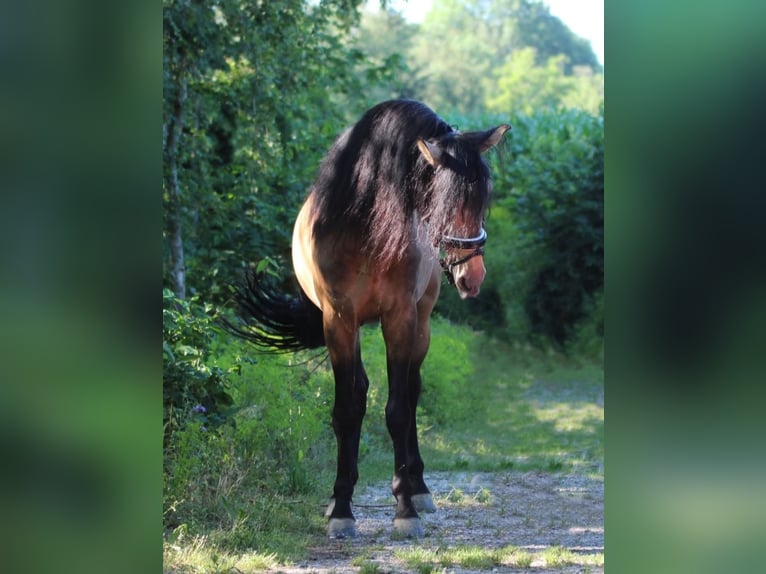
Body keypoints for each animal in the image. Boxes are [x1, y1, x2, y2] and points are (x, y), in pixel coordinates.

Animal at [231, 100, 512, 540]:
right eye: (445, 202)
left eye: (483, 199)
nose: (472, 277)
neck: (366, 226)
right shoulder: (338, 320)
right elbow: (347, 410)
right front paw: (341, 508)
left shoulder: (399, 318)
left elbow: (397, 409)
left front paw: (405, 509)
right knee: (362, 390)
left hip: (421, 323)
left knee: (412, 391)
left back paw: (418, 488)